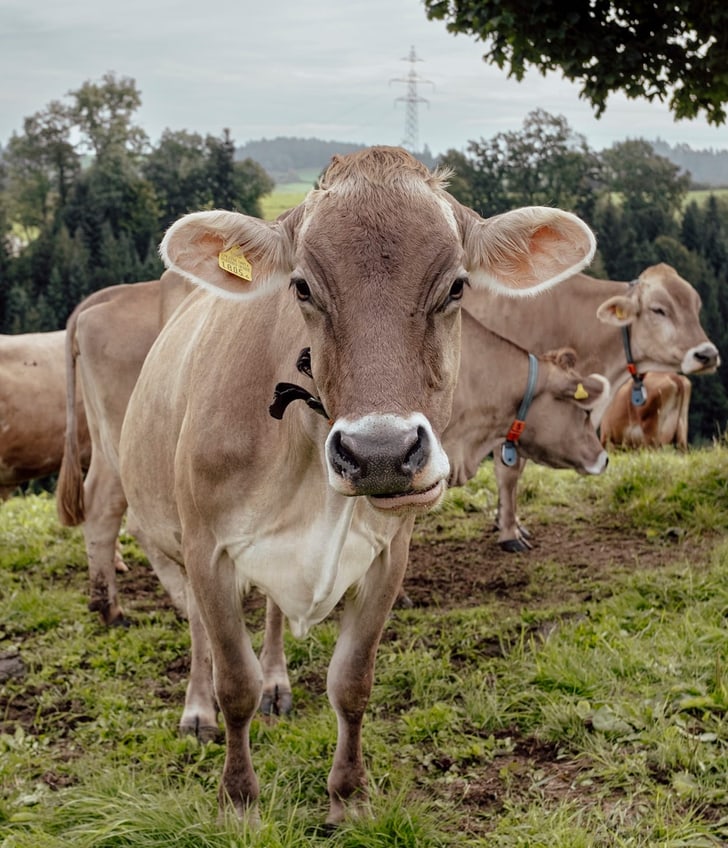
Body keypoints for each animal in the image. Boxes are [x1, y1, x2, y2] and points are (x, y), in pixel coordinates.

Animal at [115, 146, 597, 823]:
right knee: (199, 635)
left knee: (272, 613)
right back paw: (197, 711)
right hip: (167, 540)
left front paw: (348, 795)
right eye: (302, 286)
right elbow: (233, 681)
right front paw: (238, 797)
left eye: (456, 286)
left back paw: (279, 683)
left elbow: (352, 681)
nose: (380, 454)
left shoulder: (389, 555)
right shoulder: (206, 548)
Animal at [463, 263, 720, 551]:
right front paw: (509, 534)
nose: (707, 355)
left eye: (696, 307)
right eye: (658, 309)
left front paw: (510, 524)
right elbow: (509, 472)